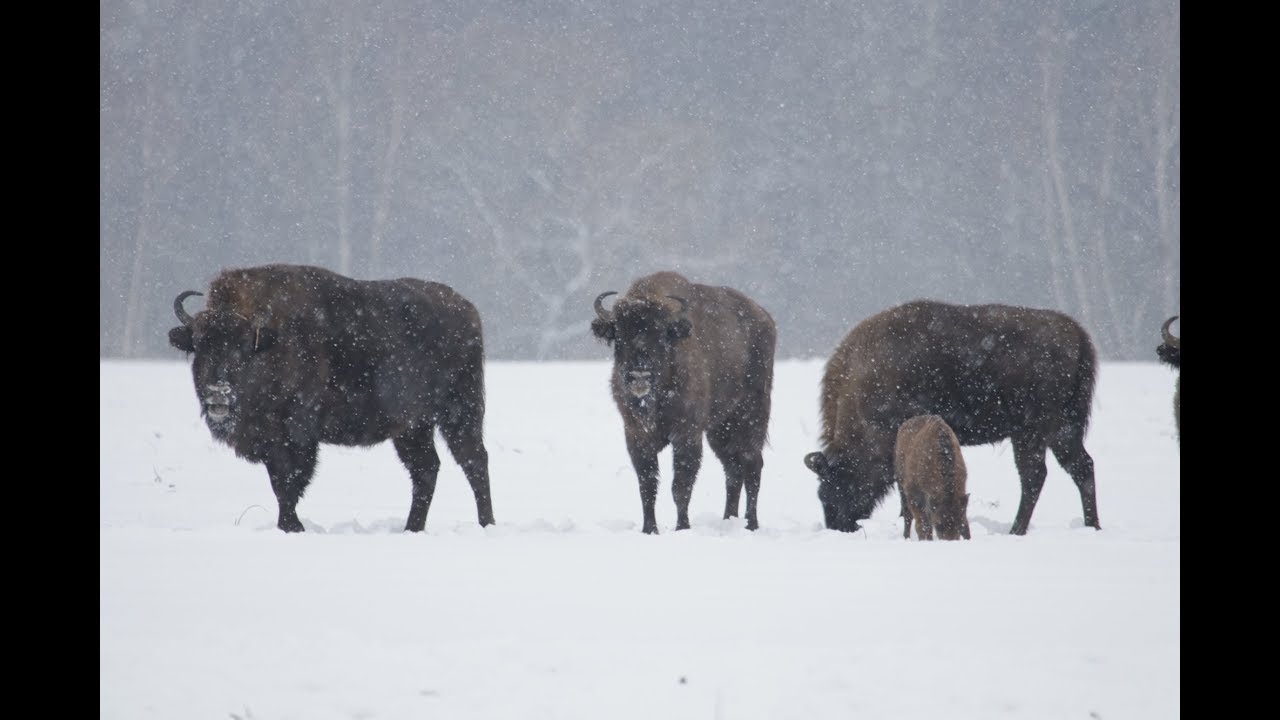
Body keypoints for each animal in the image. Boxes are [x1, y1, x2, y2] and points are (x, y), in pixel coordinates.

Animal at [168, 263, 495, 532]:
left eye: (246, 347)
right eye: (199, 345)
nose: (218, 393)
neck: (274, 341)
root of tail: (469, 311)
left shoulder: (296, 435)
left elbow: (289, 482)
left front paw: (292, 526)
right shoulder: (271, 441)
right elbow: (279, 482)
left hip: (460, 412)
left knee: (474, 460)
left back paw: (485, 523)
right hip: (412, 428)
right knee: (426, 469)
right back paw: (411, 528)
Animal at [591, 271, 776, 534]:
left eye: (661, 334)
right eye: (619, 335)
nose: (640, 375)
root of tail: (765, 318)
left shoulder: (686, 434)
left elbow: (681, 485)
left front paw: (682, 528)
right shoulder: (636, 435)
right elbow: (647, 485)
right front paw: (649, 529)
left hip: (752, 415)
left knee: (752, 465)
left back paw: (751, 524)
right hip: (719, 429)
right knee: (732, 469)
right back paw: (728, 519)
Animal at [804, 299, 1100, 536]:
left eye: (834, 487)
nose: (839, 526)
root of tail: (1077, 333)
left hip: (1037, 431)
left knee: (1040, 475)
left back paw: (1019, 530)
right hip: (1055, 431)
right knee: (1073, 468)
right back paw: (1088, 526)